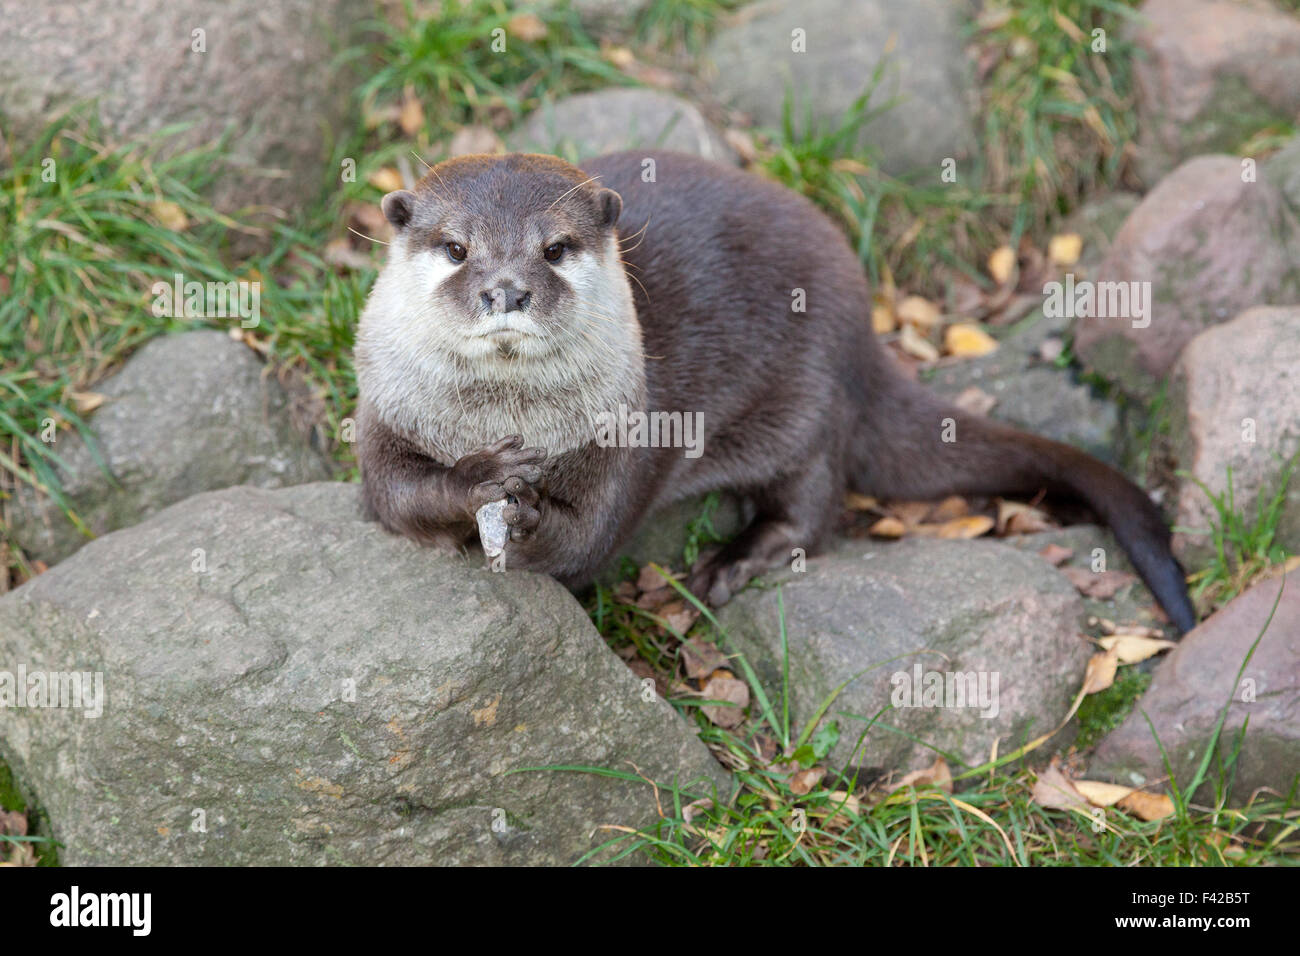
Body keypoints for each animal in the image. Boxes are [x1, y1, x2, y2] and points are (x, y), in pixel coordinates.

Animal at [354, 150, 1197, 633]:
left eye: (555, 248)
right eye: (456, 248)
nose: (506, 288)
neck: (501, 417)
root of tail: (862, 332)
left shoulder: (631, 428)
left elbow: (589, 538)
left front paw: (529, 520)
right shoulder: (384, 411)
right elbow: (393, 497)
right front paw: (479, 480)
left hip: (806, 398)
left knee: (817, 499)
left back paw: (739, 557)